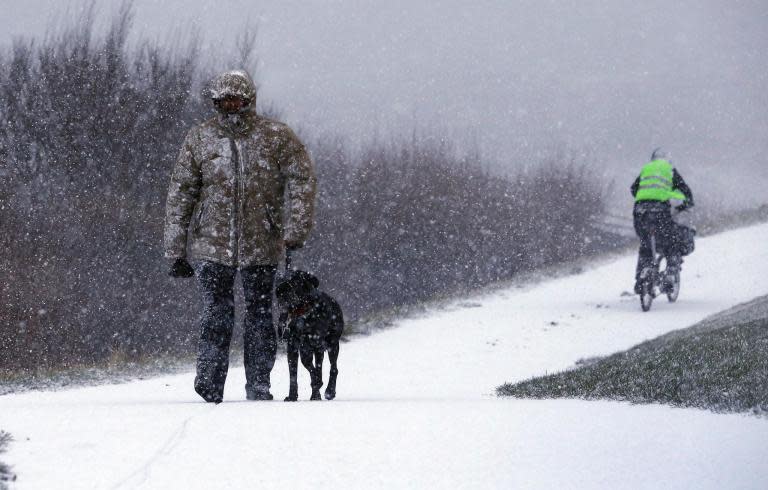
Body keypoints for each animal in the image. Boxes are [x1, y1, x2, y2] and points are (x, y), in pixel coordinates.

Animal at [278, 268, 344, 402]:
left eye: (293, 280)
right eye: (280, 279)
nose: (280, 290)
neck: (300, 312)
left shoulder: (314, 341)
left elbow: (307, 361)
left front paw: (319, 384)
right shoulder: (292, 346)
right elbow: (293, 373)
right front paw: (292, 396)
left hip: (332, 343)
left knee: (334, 368)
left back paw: (329, 391)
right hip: (320, 349)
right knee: (319, 365)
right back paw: (316, 394)